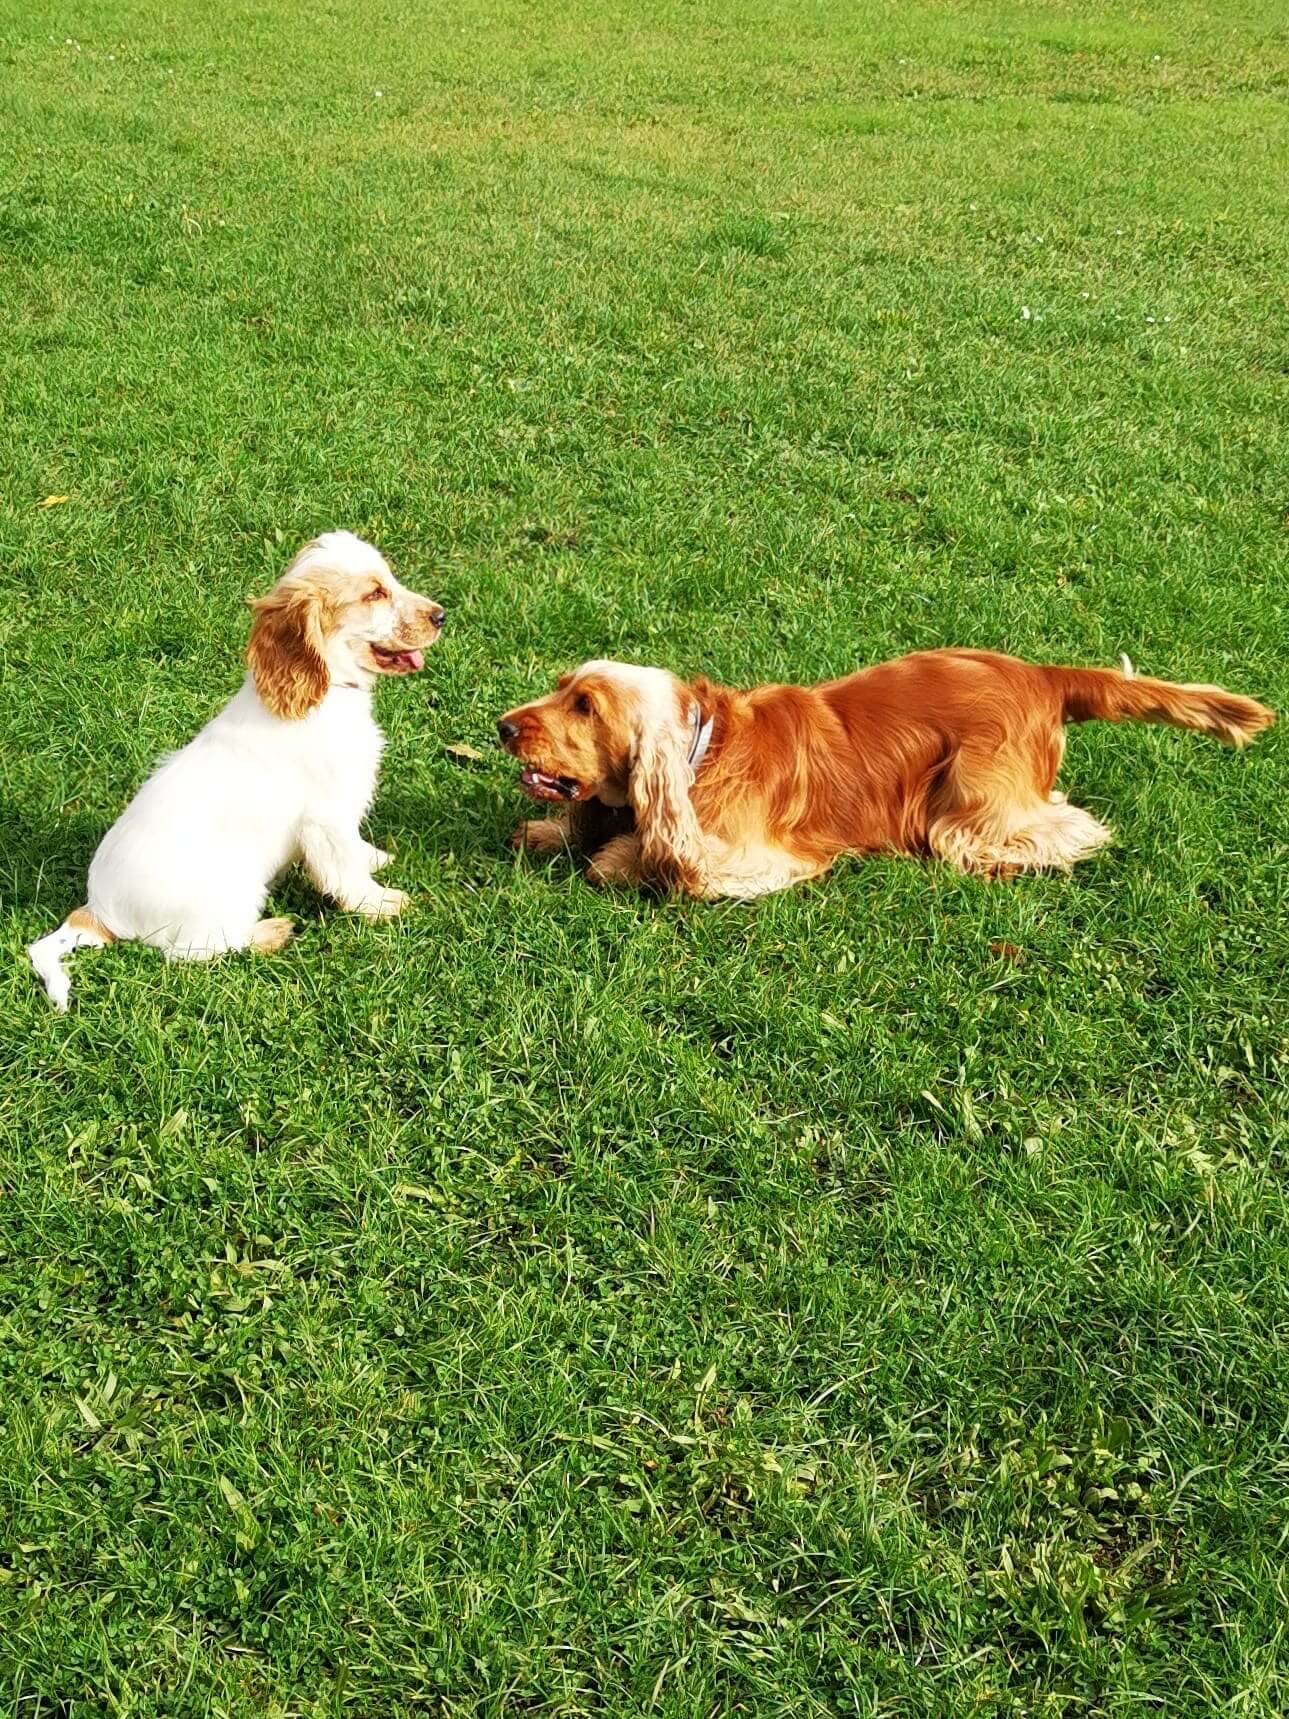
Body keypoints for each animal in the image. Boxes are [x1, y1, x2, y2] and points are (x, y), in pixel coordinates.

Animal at [29, 531, 444, 1009]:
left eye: (390, 580)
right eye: (374, 593)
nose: (441, 616)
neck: (330, 694)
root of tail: (94, 911)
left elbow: (355, 851)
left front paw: (375, 858)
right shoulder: (326, 817)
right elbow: (345, 871)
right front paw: (382, 904)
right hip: (231, 895)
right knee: (194, 952)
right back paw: (273, 932)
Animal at [497, 651, 1273, 900]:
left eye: (586, 706)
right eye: (560, 687)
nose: (503, 726)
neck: (701, 750)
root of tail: (1040, 675)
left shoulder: (754, 859)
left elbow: (650, 860)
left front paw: (616, 856)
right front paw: (549, 833)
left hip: (970, 808)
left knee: (1067, 827)